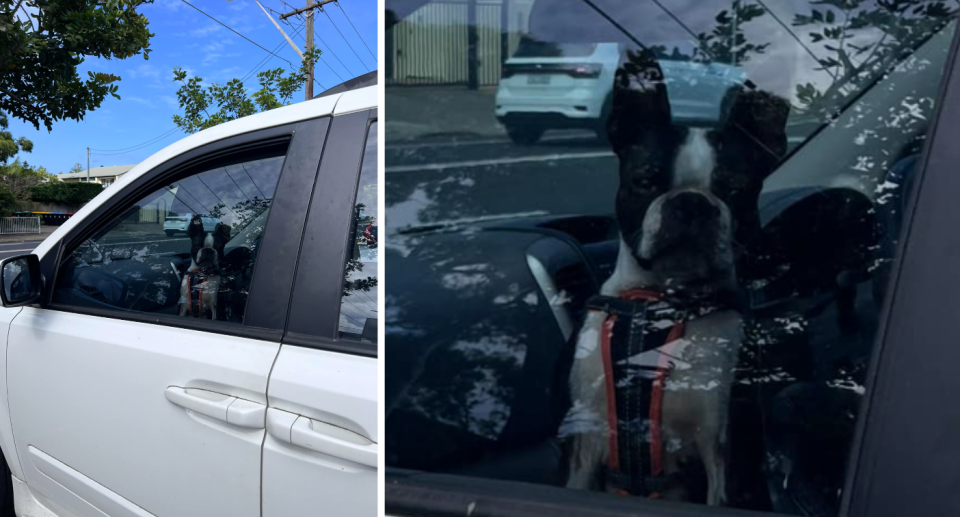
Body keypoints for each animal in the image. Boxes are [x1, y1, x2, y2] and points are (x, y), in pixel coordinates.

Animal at [564, 49, 788, 504]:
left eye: (736, 189)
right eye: (645, 179)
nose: (691, 202)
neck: (661, 304)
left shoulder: (723, 448)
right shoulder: (585, 439)